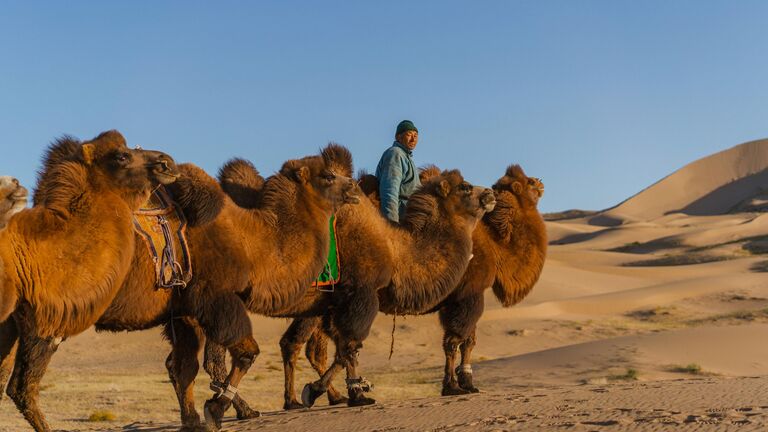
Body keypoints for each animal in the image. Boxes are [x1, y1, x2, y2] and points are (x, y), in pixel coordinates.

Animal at [201, 160, 496, 410]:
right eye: (465, 187)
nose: (490, 193)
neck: (395, 250)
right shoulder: (361, 293)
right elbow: (352, 346)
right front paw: (355, 394)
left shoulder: (335, 303)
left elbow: (342, 350)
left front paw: (319, 390)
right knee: (216, 359)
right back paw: (239, 409)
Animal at [292, 165, 548, 402]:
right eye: (529, 182)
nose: (540, 182)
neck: (496, 245)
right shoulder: (470, 294)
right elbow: (458, 341)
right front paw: (456, 386)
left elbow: (466, 340)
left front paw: (465, 383)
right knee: (306, 345)